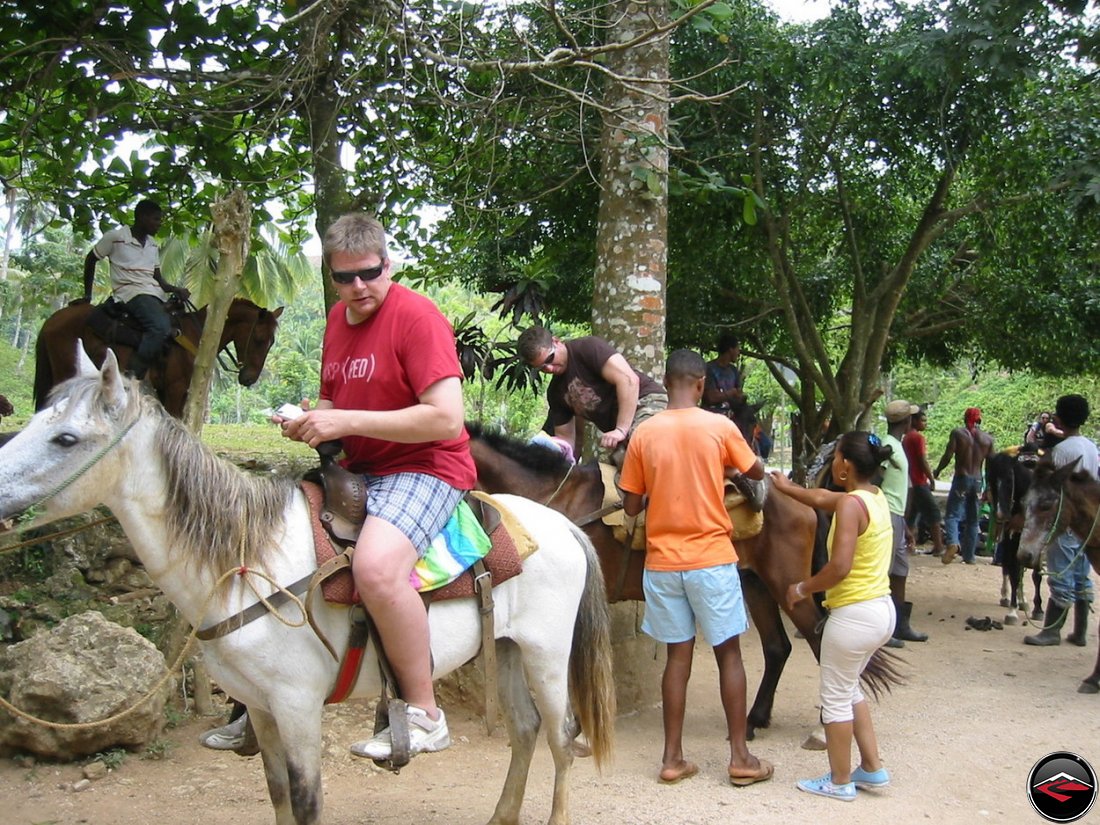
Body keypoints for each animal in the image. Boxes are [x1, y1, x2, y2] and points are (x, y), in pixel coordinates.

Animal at [0, 349, 616, 825]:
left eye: (65, 438)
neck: (246, 561)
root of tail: (561, 524)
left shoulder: (297, 706)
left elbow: (305, 801)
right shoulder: (261, 708)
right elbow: (278, 796)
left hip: (546, 653)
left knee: (561, 737)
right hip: (508, 649)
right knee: (526, 730)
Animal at [36, 299, 281, 420]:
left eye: (272, 342)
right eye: (259, 339)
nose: (249, 378)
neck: (197, 334)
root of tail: (51, 321)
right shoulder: (176, 389)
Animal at [466, 422, 902, 739]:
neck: (551, 498)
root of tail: (805, 497)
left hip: (787, 584)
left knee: (817, 638)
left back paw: (826, 726)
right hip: (755, 583)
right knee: (779, 647)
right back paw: (754, 720)